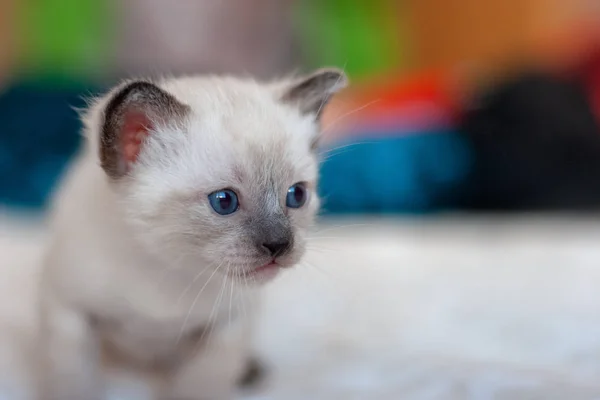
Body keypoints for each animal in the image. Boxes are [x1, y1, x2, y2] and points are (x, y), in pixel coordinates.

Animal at [36, 69, 346, 400]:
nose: (279, 244)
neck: (168, 268)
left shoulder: (229, 325)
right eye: (224, 201)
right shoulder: (68, 311)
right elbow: (74, 383)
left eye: (296, 195)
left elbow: (199, 386)